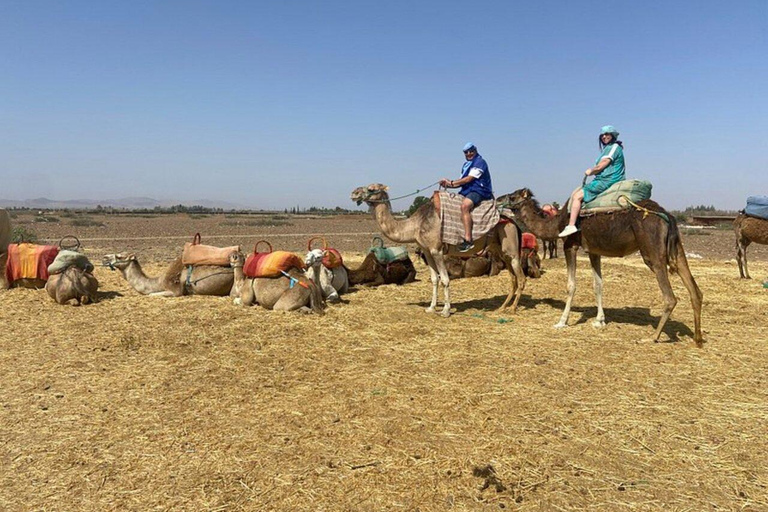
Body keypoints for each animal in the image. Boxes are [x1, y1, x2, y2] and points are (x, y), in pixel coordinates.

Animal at [352, 184, 524, 316]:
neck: (416, 225)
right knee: (513, 278)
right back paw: (502, 307)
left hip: (511, 245)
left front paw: (446, 310)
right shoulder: (427, 251)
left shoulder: (437, 250)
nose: (354, 193)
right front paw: (431, 308)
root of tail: (511, 220)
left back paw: (513, 309)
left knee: (521, 277)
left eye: (372, 188)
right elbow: (435, 279)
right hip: (500, 248)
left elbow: (445, 280)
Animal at [498, 186, 704, 346]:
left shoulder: (570, 245)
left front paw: (561, 321)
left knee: (670, 297)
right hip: (676, 250)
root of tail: (667, 216)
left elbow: (571, 285)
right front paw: (599, 320)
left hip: (652, 252)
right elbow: (598, 284)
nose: (498, 199)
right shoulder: (594, 251)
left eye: (513, 196)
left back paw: (652, 337)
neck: (556, 224)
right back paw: (697, 338)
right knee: (695, 290)